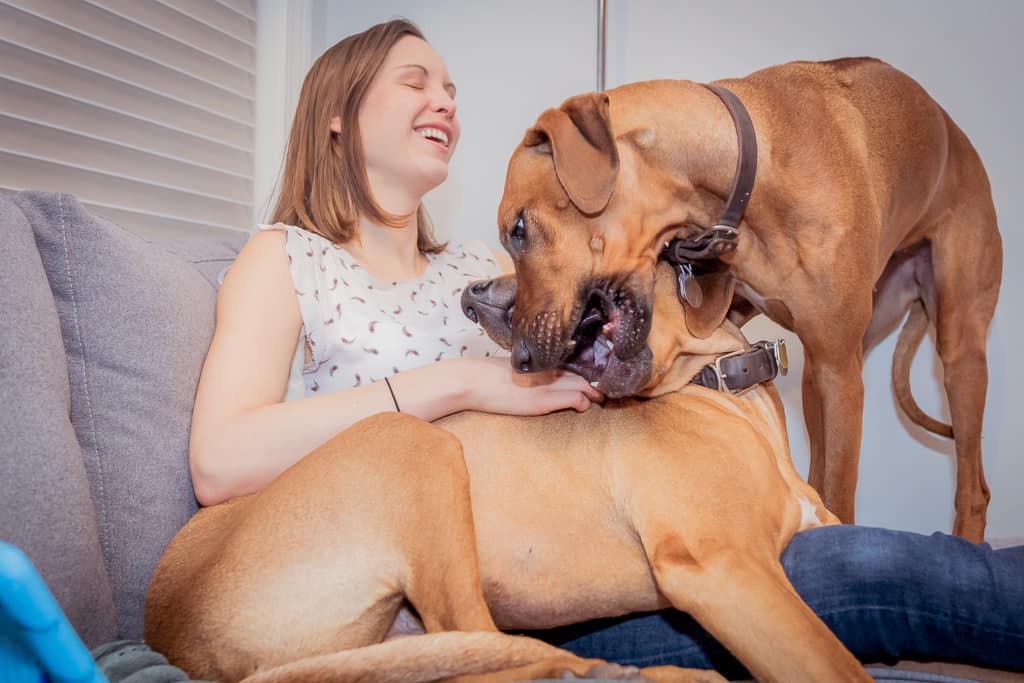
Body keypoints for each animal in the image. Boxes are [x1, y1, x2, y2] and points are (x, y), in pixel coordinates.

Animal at [144, 262, 872, 683]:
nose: (474, 296)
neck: (719, 387)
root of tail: (167, 627)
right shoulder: (723, 569)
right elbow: (835, 663)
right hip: (412, 442)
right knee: (482, 639)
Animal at [499, 56, 1003, 540]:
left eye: (518, 229)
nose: (522, 358)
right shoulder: (757, 326)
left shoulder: (839, 369)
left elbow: (838, 491)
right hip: (828, 371)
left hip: (956, 352)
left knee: (974, 486)